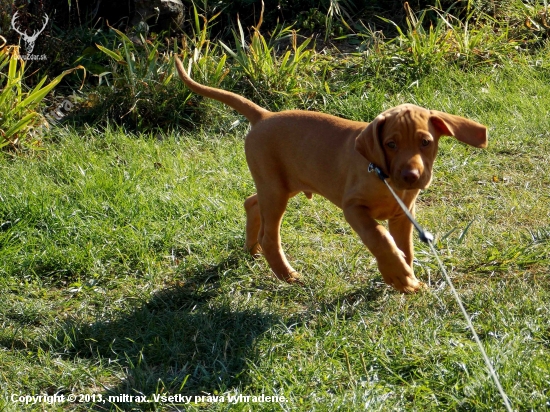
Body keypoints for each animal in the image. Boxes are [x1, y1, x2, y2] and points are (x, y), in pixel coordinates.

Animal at [176, 57, 488, 292]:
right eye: (390, 144)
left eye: (426, 142)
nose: (411, 176)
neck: (385, 179)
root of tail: (264, 116)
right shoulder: (354, 208)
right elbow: (379, 237)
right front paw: (397, 273)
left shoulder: (402, 216)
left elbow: (405, 247)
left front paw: (404, 275)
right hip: (275, 189)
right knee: (269, 235)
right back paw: (286, 274)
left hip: (280, 184)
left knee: (252, 202)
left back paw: (251, 249)